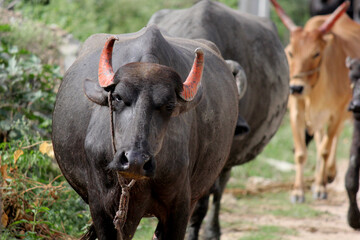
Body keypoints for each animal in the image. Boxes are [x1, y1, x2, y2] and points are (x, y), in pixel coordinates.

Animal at [270, 0, 360, 202]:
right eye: (291, 53)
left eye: (316, 53)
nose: (296, 88)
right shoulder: (296, 111)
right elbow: (301, 153)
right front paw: (298, 191)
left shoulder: (338, 113)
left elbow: (326, 149)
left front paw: (320, 186)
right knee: (321, 139)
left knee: (331, 141)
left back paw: (328, 174)